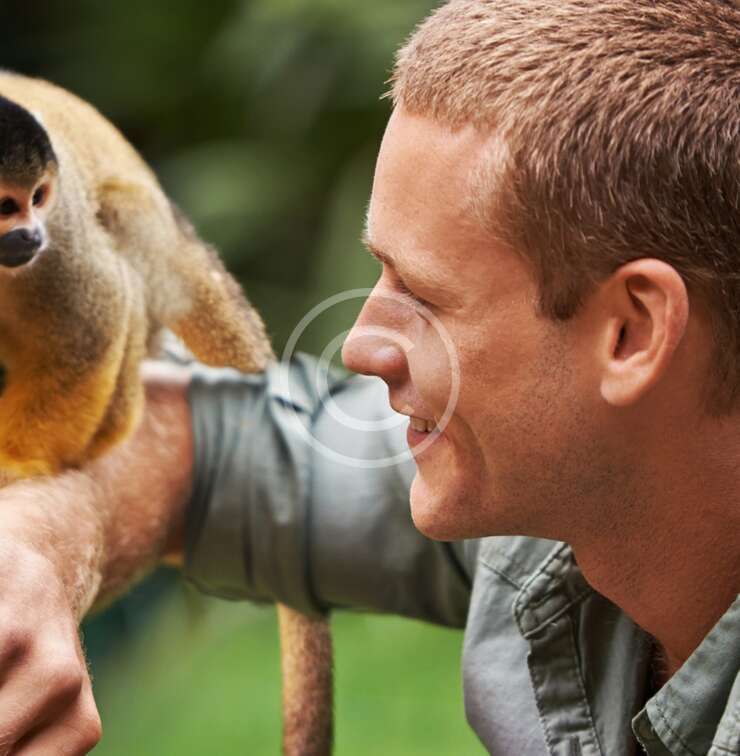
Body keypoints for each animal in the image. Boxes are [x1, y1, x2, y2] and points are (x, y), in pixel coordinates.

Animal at [0, 71, 332, 756]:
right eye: (4, 207)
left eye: (35, 199)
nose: (29, 237)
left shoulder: (62, 245)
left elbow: (87, 328)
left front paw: (14, 461)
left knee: (118, 237)